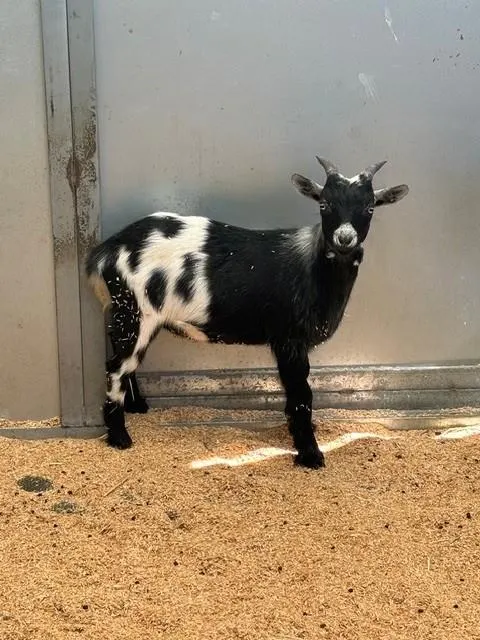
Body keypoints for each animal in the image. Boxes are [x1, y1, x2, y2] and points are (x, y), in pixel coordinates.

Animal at [86, 156, 409, 469]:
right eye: (324, 204)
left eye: (369, 207)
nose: (344, 239)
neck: (313, 271)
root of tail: (107, 251)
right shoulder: (289, 339)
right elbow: (301, 392)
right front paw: (309, 453)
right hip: (136, 312)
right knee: (116, 366)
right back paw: (119, 437)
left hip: (133, 316)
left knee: (123, 358)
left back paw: (137, 406)